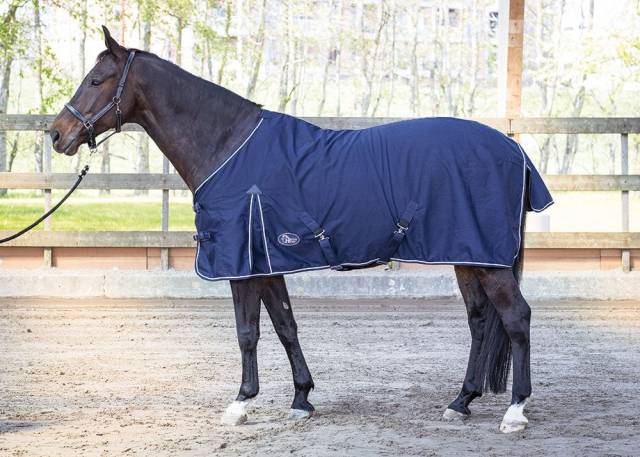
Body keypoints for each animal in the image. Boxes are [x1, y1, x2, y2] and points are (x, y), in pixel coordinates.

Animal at [49, 26, 551, 433]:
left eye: (96, 80)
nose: (57, 134)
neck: (226, 144)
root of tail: (512, 148)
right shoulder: (267, 263)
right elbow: (285, 326)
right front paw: (301, 399)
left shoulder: (242, 266)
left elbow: (247, 332)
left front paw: (240, 404)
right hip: (468, 256)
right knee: (481, 321)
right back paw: (461, 401)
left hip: (487, 262)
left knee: (516, 318)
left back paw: (515, 411)